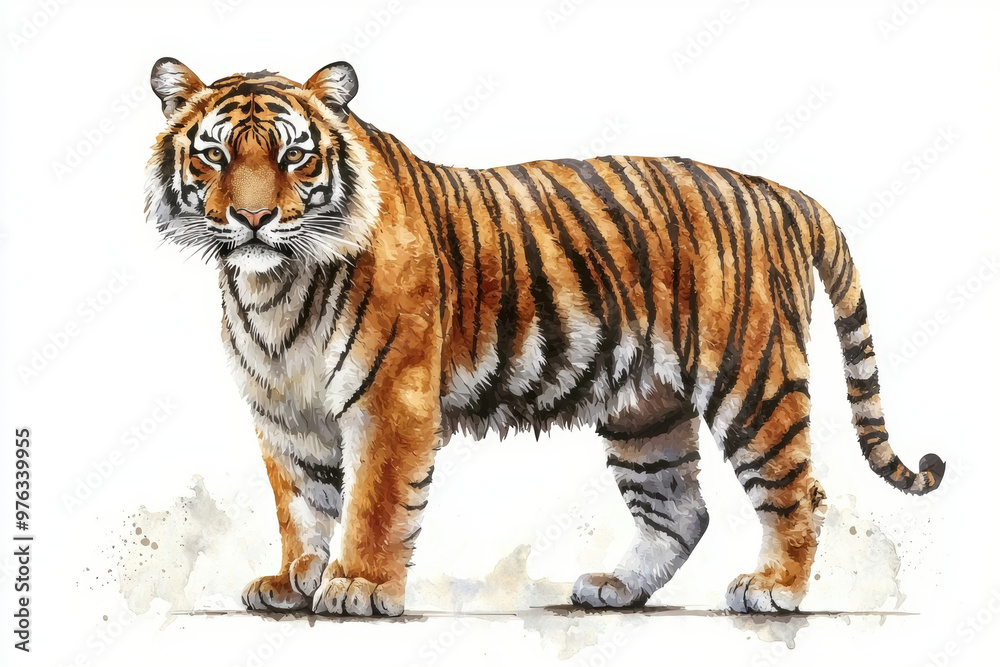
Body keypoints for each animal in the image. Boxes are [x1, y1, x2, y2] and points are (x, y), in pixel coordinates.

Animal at [144, 58, 945, 617]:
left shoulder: (390, 399)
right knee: (680, 508)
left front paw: (358, 587)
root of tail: (779, 192)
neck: (273, 288)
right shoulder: (286, 412)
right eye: (215, 156)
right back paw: (616, 587)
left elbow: (373, 502)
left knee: (797, 489)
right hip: (645, 410)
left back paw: (774, 587)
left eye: (294, 156)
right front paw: (292, 581)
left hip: (752, 381)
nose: (252, 219)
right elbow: (302, 506)